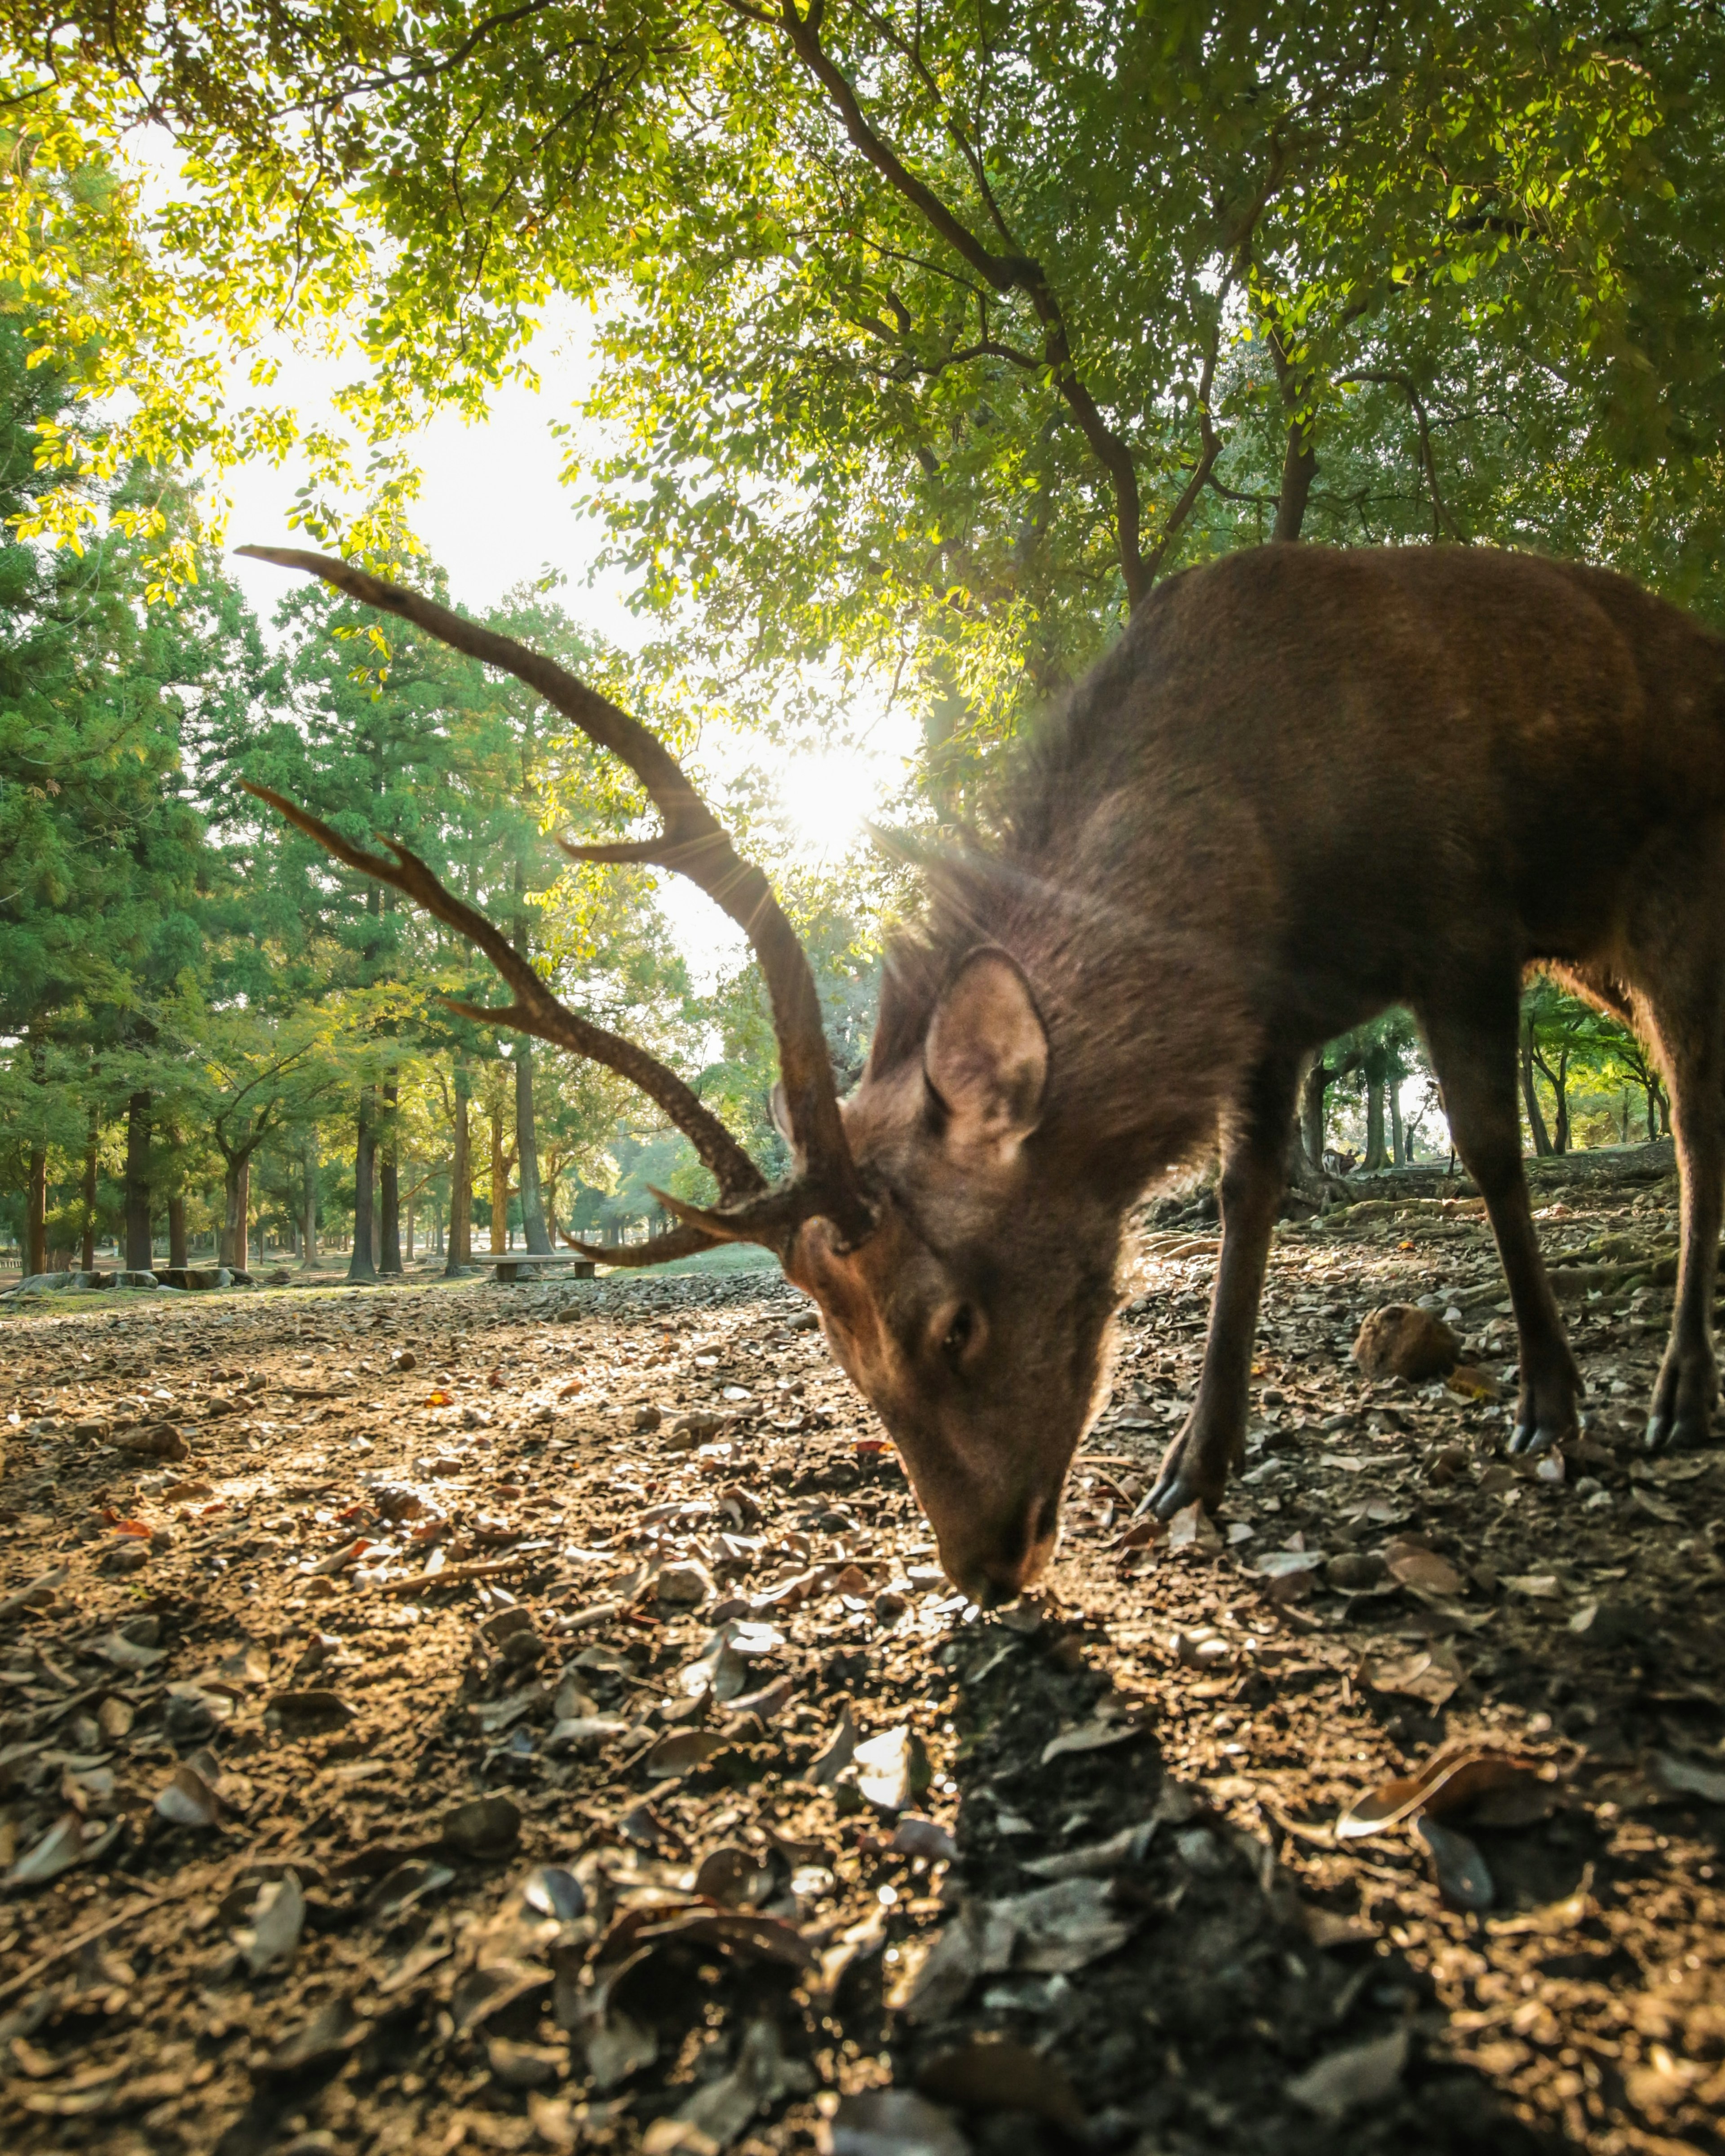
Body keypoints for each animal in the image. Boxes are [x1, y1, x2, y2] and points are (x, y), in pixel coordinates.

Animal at [239, 543, 1725, 1604]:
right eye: (838, 1356)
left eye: (951, 1325)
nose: (980, 1570)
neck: (1271, 853)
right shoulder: (1275, 1019)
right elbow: (1247, 1198)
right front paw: (1191, 1471)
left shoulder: (1463, 921)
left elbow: (1489, 1150)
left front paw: (1548, 1408)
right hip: (1599, 946)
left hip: (1665, 893)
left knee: (1696, 1120)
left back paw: (1671, 1395)